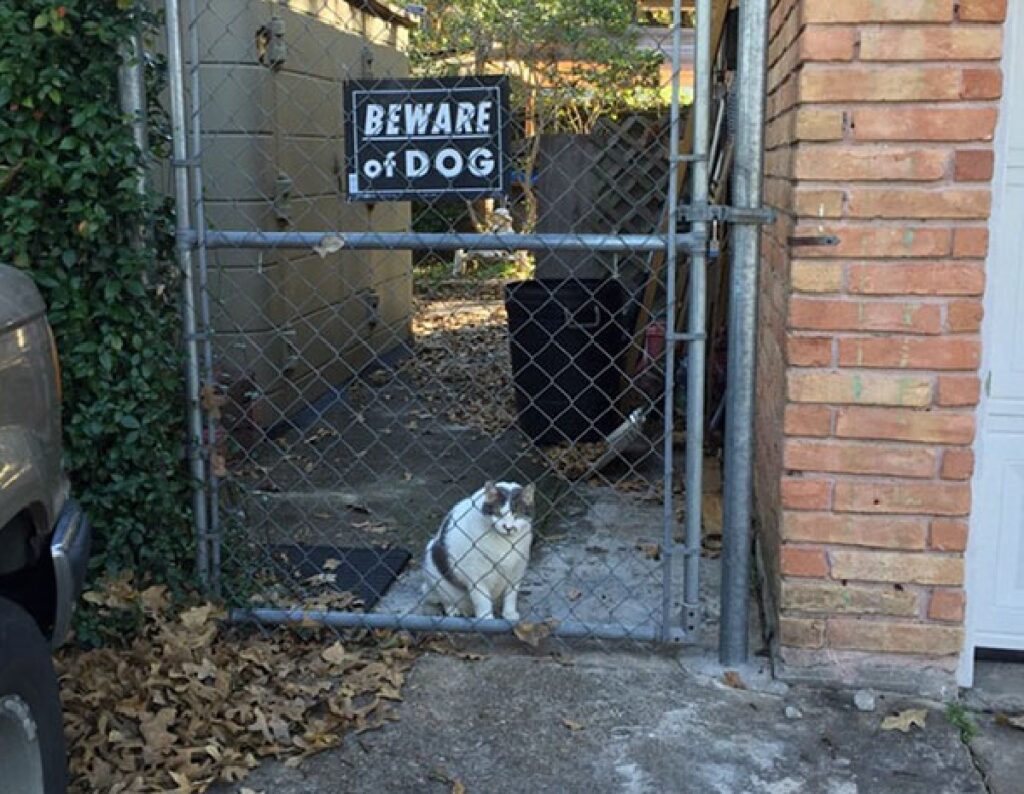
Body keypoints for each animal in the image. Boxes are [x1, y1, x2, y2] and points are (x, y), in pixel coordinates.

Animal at [421, 481, 536, 622]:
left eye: (517, 514)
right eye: (498, 513)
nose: (508, 528)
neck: (505, 544)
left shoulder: (516, 572)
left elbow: (511, 596)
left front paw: (509, 614)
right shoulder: (476, 578)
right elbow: (483, 601)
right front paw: (487, 619)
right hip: (434, 569)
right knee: (445, 600)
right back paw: (454, 611)